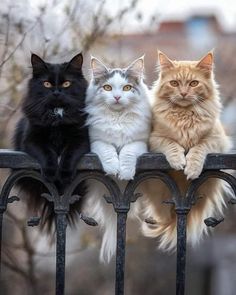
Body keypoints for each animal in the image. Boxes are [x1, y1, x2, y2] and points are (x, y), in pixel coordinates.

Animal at [13, 53, 90, 229]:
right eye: (46, 84)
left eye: (67, 83)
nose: (56, 92)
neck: (57, 114)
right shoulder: (31, 139)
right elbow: (47, 153)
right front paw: (51, 172)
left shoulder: (81, 138)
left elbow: (69, 154)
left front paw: (64, 174)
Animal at [85, 56, 151, 264]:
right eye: (107, 88)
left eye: (127, 88)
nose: (116, 97)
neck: (118, 118)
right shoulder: (97, 141)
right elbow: (108, 151)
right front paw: (113, 168)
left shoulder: (139, 142)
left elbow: (128, 153)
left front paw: (125, 171)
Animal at [142, 51, 232, 252]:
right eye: (174, 83)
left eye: (193, 83)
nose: (183, 93)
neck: (184, 116)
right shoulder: (155, 139)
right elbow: (171, 144)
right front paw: (178, 161)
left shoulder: (216, 140)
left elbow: (199, 148)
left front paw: (191, 168)